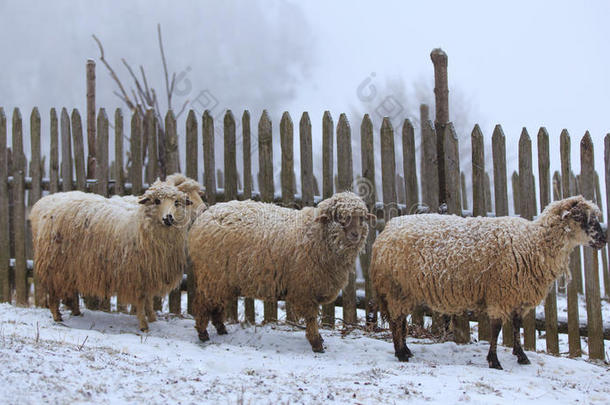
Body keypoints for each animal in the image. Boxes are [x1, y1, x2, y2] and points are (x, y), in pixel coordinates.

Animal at [30, 181, 192, 332]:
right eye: (157, 201)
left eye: (177, 202)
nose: (169, 218)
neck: (142, 223)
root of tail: (43, 203)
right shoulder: (136, 274)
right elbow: (141, 300)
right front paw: (144, 325)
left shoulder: (149, 273)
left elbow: (149, 299)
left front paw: (152, 318)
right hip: (54, 263)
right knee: (53, 292)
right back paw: (57, 316)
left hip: (71, 266)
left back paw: (76, 312)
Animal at [189, 191, 376, 352]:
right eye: (340, 218)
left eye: (361, 219)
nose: (355, 235)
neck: (316, 235)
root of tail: (204, 217)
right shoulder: (305, 291)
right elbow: (311, 319)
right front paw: (316, 343)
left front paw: (318, 340)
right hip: (211, 275)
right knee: (203, 303)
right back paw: (203, 333)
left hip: (221, 279)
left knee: (215, 305)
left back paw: (221, 329)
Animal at [370, 194, 604, 368]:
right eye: (581, 217)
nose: (604, 239)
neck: (534, 243)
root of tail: (385, 232)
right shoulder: (500, 293)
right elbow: (497, 328)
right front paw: (494, 361)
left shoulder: (517, 295)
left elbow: (516, 325)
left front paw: (521, 356)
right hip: (396, 288)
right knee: (396, 320)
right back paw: (401, 353)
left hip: (402, 290)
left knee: (400, 320)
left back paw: (406, 350)